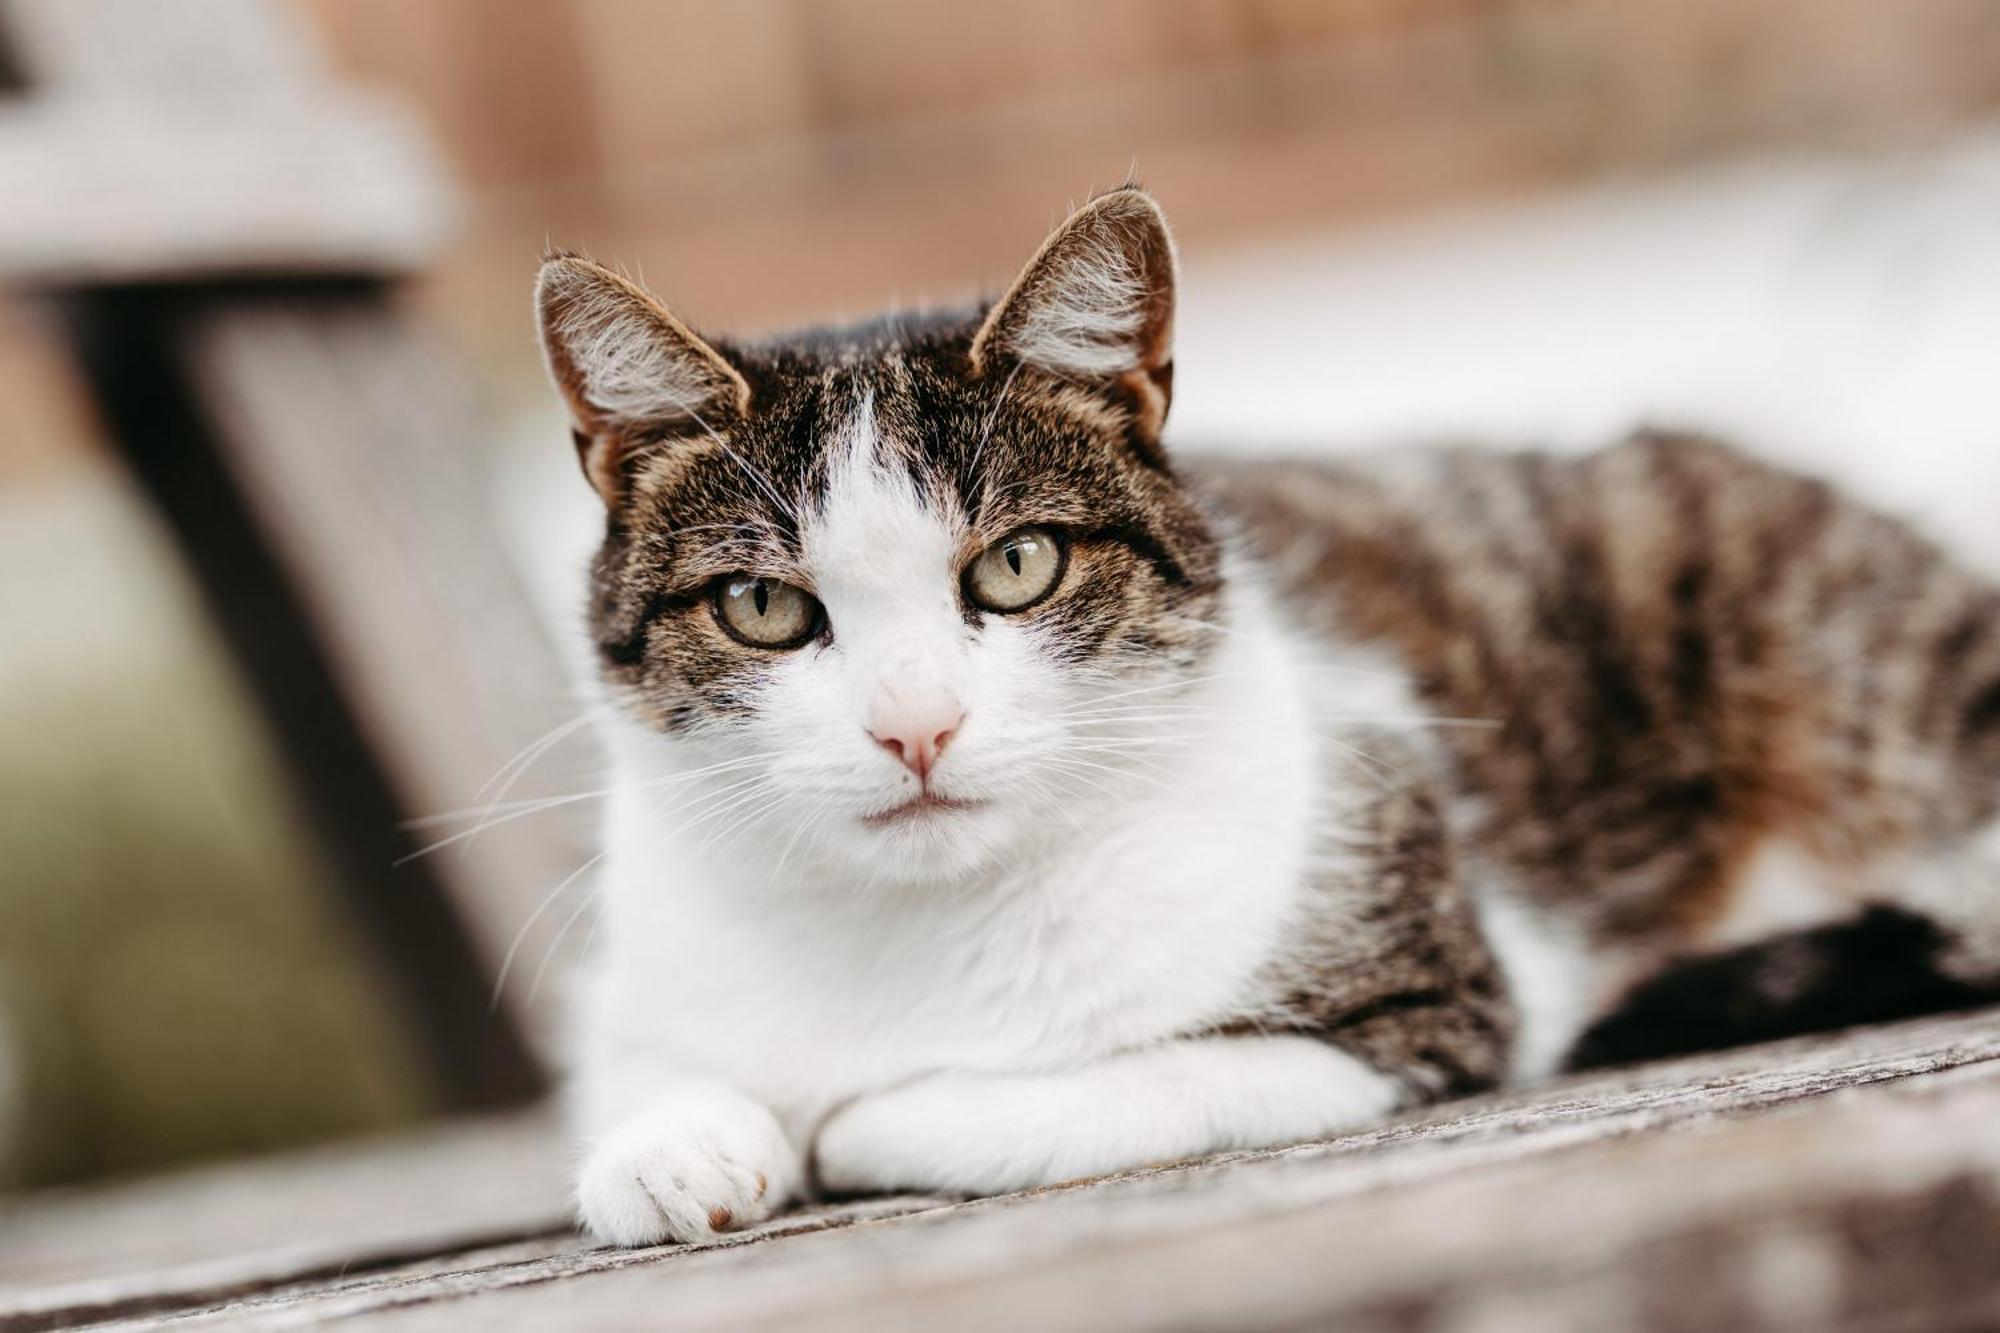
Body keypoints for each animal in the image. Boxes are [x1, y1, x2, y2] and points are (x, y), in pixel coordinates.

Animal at [532, 189, 2000, 1248]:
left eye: (1018, 566)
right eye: (765, 606)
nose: (915, 727)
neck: (917, 923)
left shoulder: (1428, 1008)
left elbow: (1098, 1091)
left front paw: (864, 1118)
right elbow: (645, 1082)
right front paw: (676, 1146)